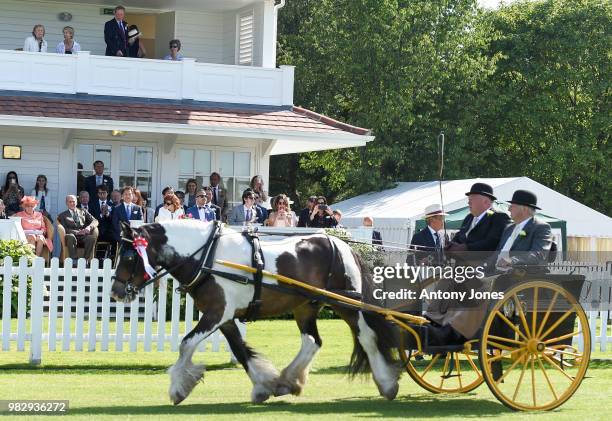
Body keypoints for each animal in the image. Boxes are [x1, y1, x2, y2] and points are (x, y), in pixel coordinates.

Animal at [110, 220, 402, 404]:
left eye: (129, 256)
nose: (115, 291)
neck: (208, 256)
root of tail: (342, 245)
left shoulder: (217, 313)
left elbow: (186, 344)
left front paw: (178, 388)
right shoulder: (224, 317)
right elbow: (240, 350)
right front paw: (263, 386)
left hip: (346, 303)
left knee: (367, 337)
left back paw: (387, 384)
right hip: (305, 307)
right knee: (312, 342)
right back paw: (288, 381)